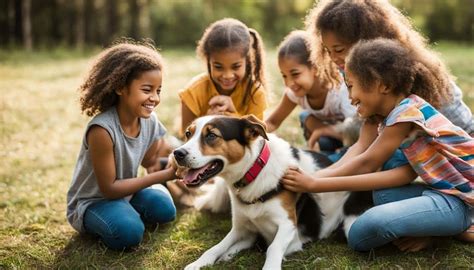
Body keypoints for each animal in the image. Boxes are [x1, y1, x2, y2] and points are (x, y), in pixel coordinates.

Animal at [172, 114, 372, 270]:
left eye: (212, 135)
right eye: (188, 134)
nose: (177, 153)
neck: (254, 172)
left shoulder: (288, 224)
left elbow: (273, 248)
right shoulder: (240, 227)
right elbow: (216, 247)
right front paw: (199, 263)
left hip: (351, 223)